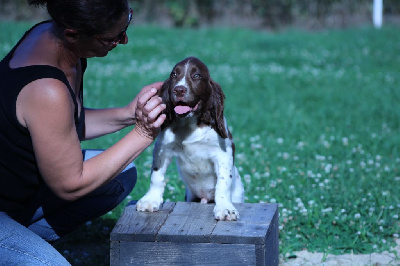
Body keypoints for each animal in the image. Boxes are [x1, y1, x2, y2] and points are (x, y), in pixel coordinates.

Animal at [137, 56, 244, 220]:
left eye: (197, 76)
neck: (189, 124)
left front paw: (225, 208)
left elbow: (223, 182)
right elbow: (157, 175)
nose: (179, 89)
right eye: (174, 75)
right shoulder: (162, 149)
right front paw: (150, 200)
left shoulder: (223, 153)